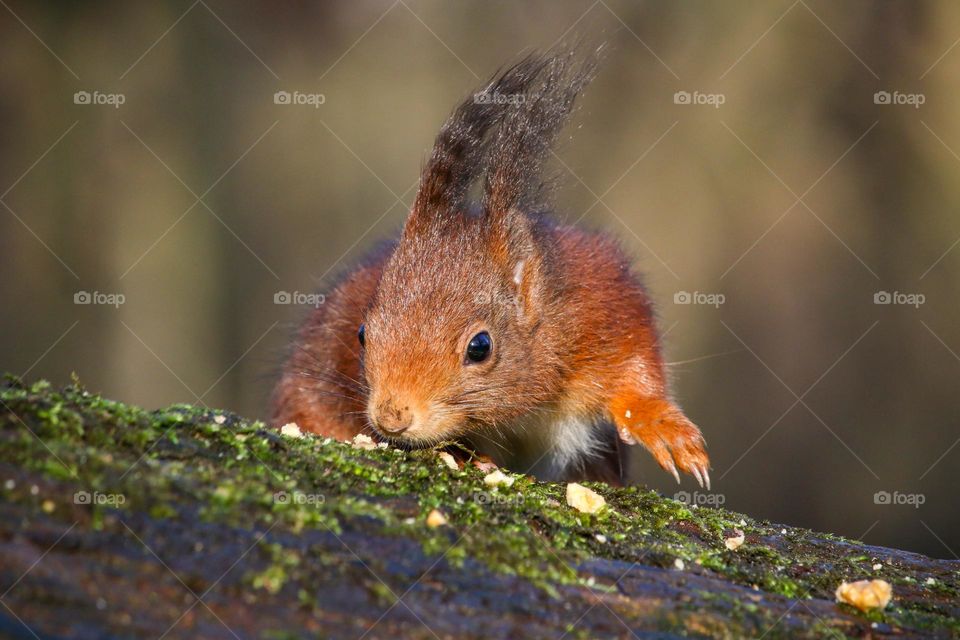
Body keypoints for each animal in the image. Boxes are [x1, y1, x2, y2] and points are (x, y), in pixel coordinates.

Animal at [272, 47, 710, 488]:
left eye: (480, 347)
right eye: (362, 334)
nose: (392, 418)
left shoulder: (603, 299)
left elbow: (638, 364)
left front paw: (661, 425)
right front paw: (465, 454)